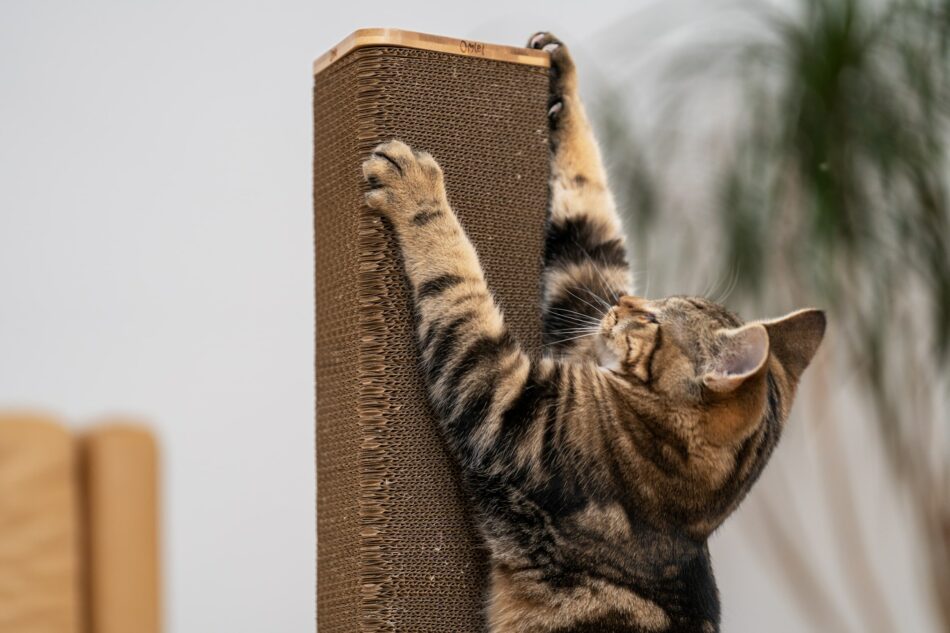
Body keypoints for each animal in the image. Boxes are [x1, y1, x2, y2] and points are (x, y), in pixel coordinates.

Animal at [360, 33, 828, 632]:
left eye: (653, 319)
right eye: (651, 302)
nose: (623, 303)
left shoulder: (502, 394)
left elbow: (455, 274)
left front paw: (417, 189)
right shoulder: (583, 289)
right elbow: (588, 209)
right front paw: (559, 72)